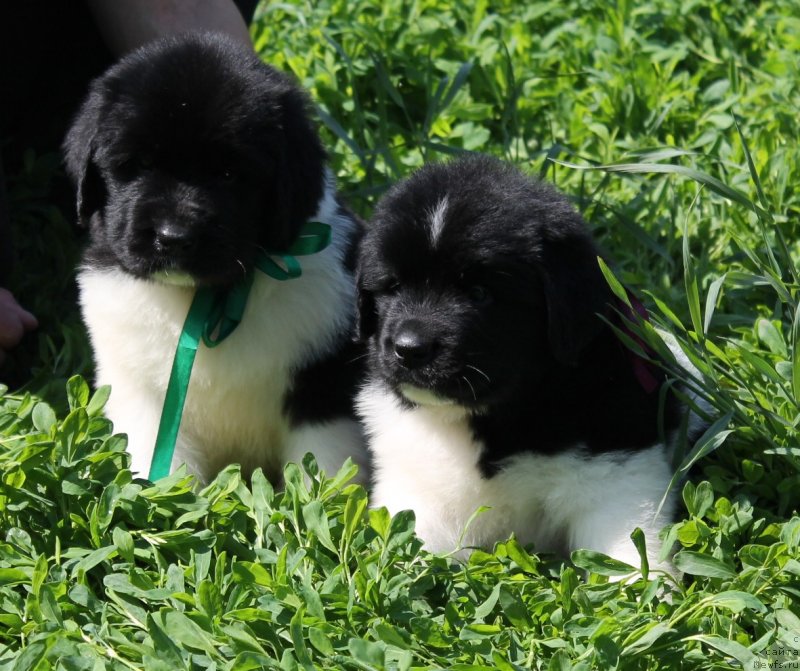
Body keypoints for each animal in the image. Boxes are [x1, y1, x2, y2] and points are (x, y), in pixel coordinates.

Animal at [65, 32, 366, 484]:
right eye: (140, 164)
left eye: (229, 175)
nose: (173, 237)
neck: (205, 298)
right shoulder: (146, 396)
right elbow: (164, 468)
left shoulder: (322, 387)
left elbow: (323, 469)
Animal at [356, 155, 700, 568]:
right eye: (392, 287)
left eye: (479, 293)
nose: (408, 348)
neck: (492, 417)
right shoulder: (418, 485)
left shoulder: (617, 472)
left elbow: (630, 548)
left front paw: (649, 583)